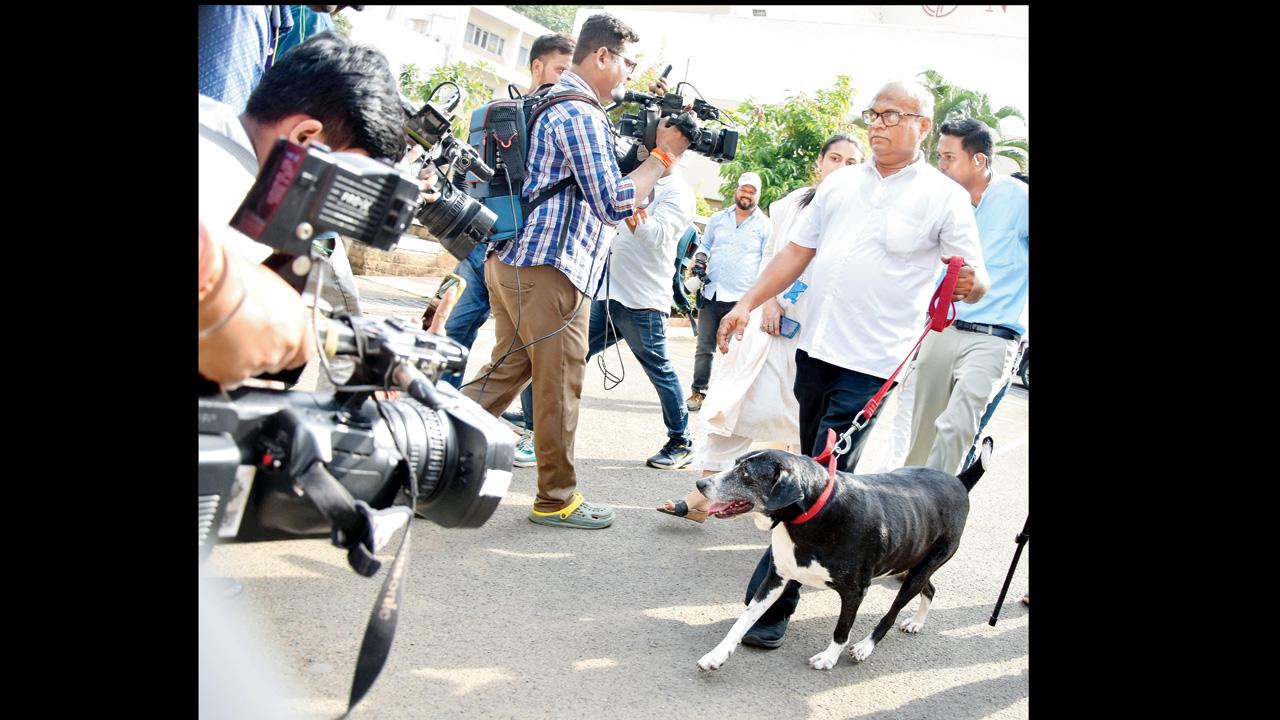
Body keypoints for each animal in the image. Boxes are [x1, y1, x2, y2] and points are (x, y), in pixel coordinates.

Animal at [701, 440, 988, 671]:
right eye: (736, 464)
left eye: (746, 474)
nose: (700, 483)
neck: (814, 513)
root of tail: (959, 481)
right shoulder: (776, 577)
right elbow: (744, 619)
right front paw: (717, 654)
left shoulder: (855, 592)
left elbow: (842, 628)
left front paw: (829, 657)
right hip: (915, 562)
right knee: (930, 588)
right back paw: (916, 622)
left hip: (920, 568)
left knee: (893, 612)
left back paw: (866, 646)